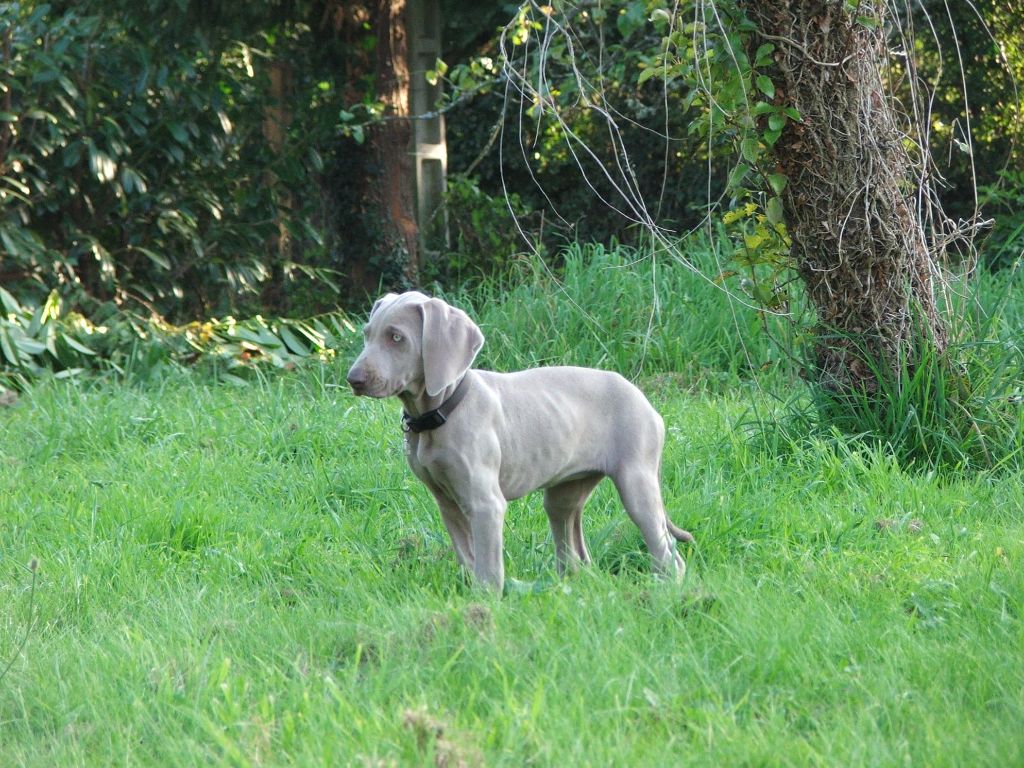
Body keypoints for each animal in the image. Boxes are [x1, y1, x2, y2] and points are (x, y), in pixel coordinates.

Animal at [348, 290, 692, 593]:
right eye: (367, 334)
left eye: (396, 338)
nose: (354, 379)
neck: (440, 413)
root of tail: (646, 401)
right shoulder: (446, 502)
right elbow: (468, 557)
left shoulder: (485, 504)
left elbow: (488, 568)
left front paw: (486, 604)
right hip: (565, 493)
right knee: (576, 552)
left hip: (636, 480)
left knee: (667, 552)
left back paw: (665, 592)